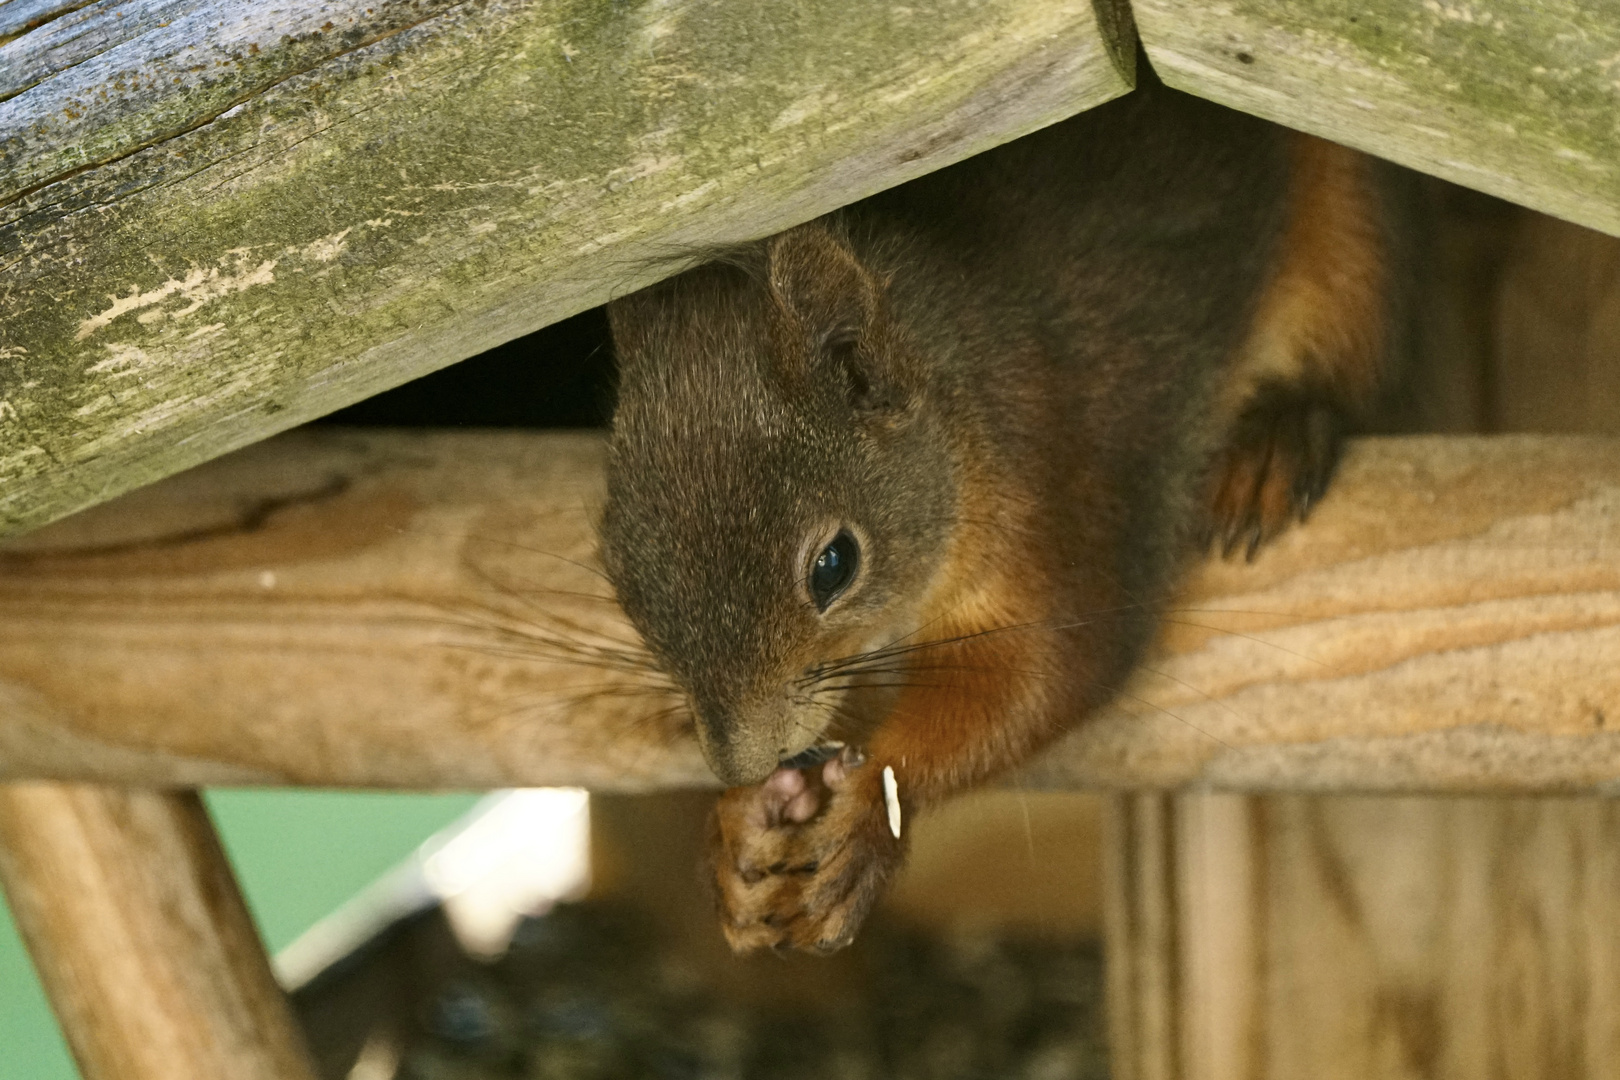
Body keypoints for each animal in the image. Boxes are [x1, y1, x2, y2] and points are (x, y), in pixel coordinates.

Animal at [596, 71, 1393, 958]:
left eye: (834, 565)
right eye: (619, 571)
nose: (740, 762)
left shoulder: (1057, 489)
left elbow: (1043, 672)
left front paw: (867, 815)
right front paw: (738, 828)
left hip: (1343, 221)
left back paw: (1277, 439)